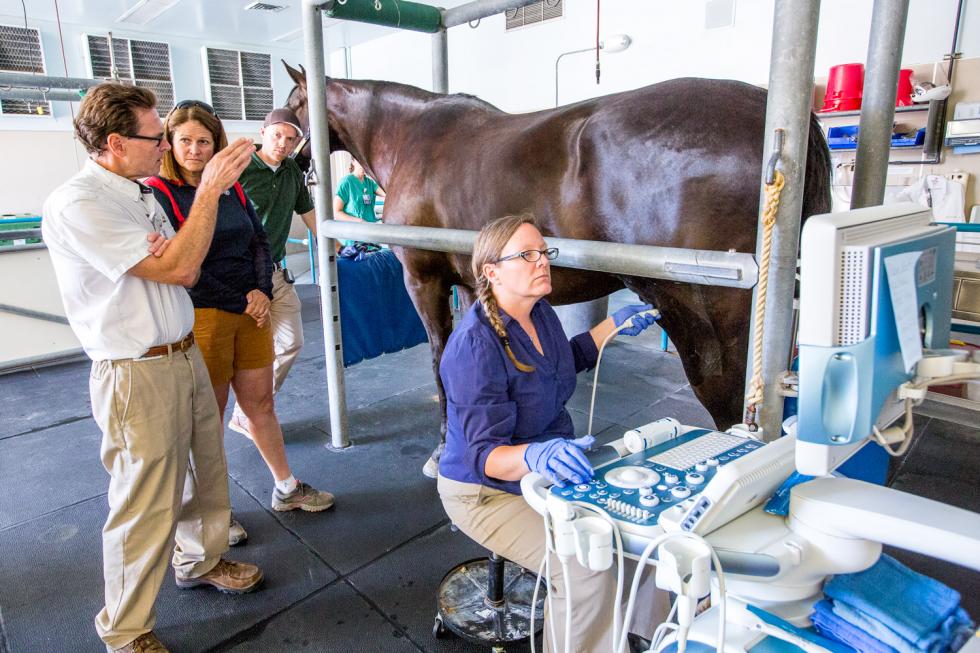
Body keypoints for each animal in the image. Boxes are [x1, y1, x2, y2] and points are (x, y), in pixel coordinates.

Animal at [282, 61, 828, 468]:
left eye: (295, 101)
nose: (279, 144)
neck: (411, 137)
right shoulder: (468, 282)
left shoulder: (422, 278)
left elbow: (438, 360)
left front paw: (441, 450)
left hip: (708, 330)